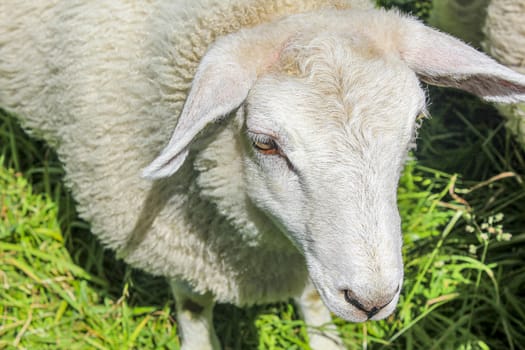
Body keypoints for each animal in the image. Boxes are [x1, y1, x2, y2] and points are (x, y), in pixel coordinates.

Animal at [1, 0, 524, 350]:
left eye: (415, 124)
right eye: (265, 143)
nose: (371, 300)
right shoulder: (180, 236)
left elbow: (312, 295)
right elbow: (194, 303)